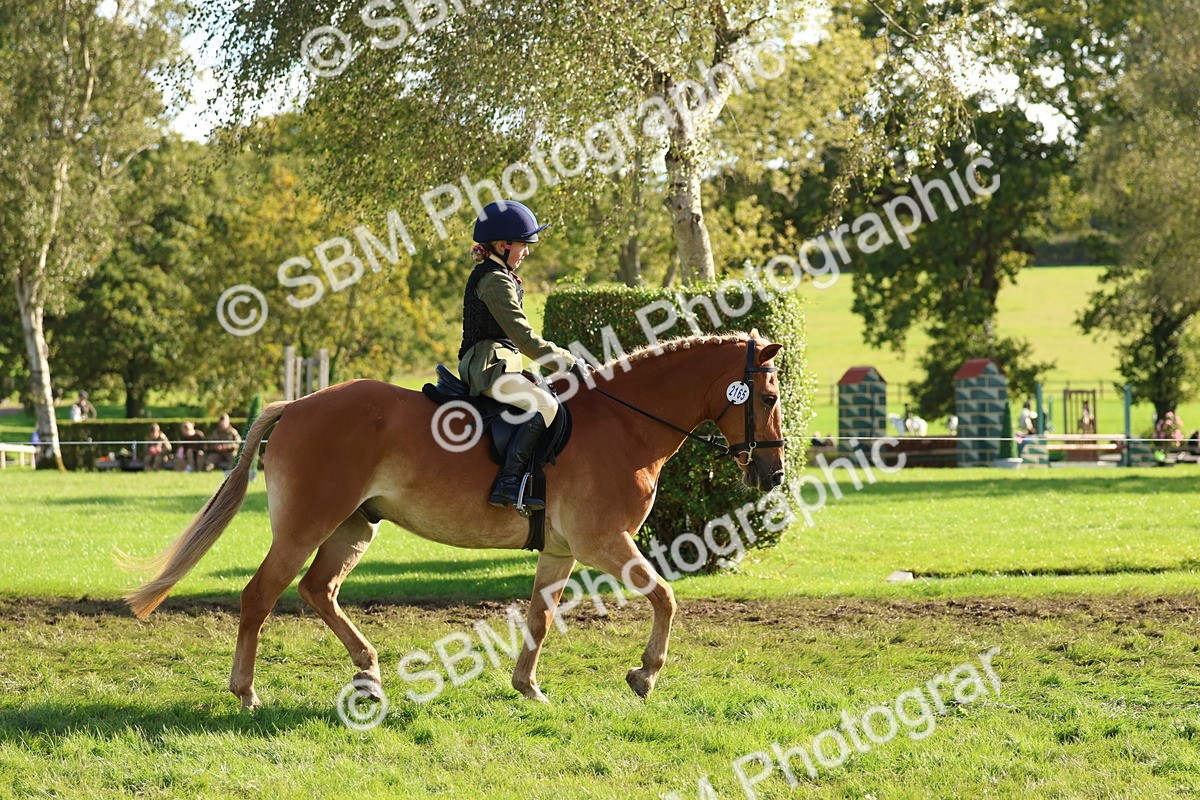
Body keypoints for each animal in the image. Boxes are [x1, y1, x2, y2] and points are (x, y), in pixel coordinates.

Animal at [123, 330, 787, 709]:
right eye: (769, 397)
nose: (772, 475)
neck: (626, 424)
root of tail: (298, 404)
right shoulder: (605, 542)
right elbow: (667, 598)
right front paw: (645, 675)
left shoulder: (563, 550)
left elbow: (541, 616)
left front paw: (528, 687)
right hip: (305, 526)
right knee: (260, 595)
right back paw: (247, 692)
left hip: (353, 526)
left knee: (318, 590)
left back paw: (369, 675)